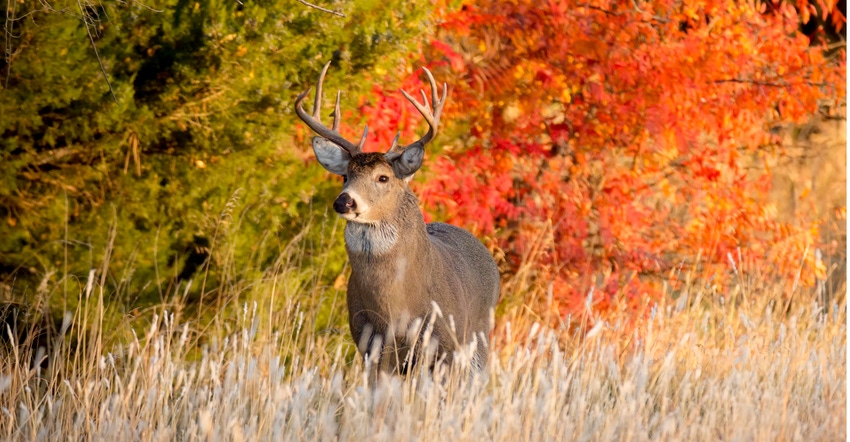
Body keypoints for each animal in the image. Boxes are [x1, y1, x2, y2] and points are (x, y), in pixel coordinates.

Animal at [294, 62, 500, 380]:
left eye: (383, 178)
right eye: (345, 176)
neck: (396, 307)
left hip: (478, 340)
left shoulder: (444, 346)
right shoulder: (371, 346)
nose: (344, 201)